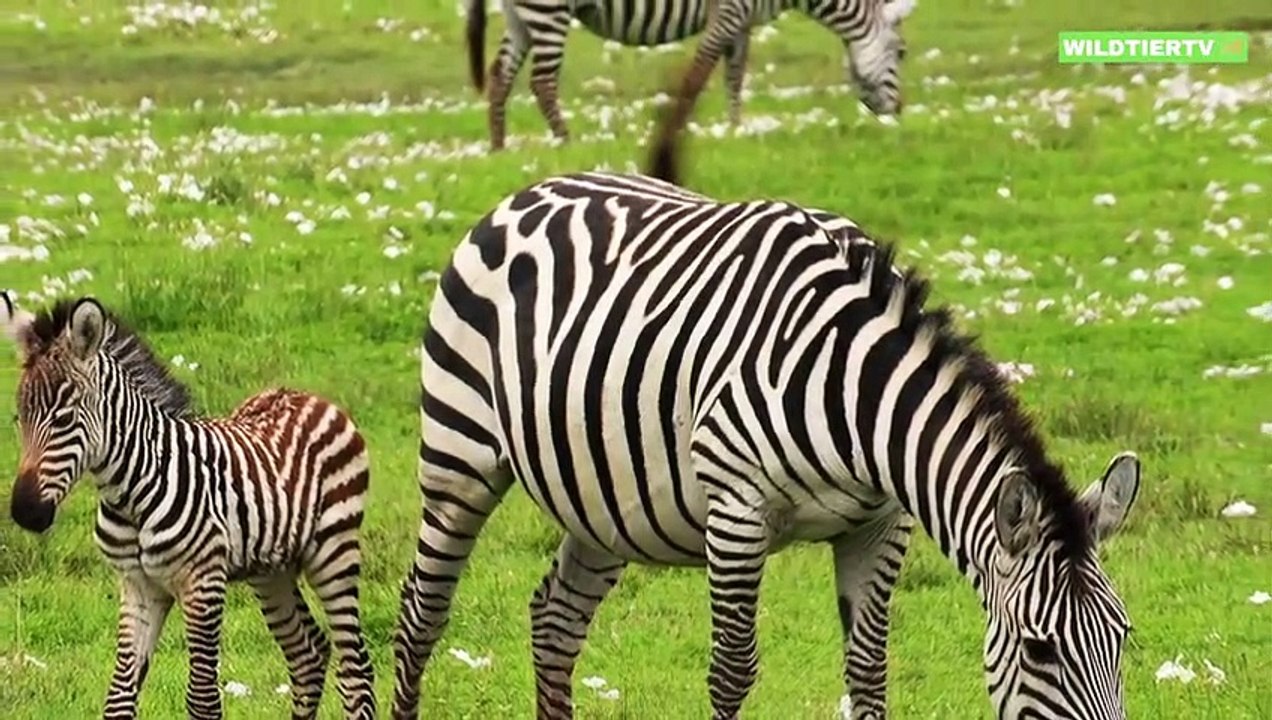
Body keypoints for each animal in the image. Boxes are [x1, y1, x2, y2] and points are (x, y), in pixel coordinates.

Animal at [1, 292, 376, 720]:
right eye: (19, 417)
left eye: (64, 418)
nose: (25, 512)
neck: (131, 493)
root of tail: (307, 396)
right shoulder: (138, 585)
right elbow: (118, 698)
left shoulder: (203, 583)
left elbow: (202, 699)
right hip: (271, 569)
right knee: (306, 654)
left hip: (334, 552)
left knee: (356, 668)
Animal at [387, 168, 1143, 719]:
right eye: (1041, 651)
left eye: (1123, 638)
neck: (856, 390)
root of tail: (527, 191)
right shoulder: (737, 510)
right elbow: (732, 670)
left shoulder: (880, 524)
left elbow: (868, 670)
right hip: (459, 453)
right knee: (422, 612)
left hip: (603, 501)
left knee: (555, 621)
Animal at [466, 0, 913, 150]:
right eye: (903, 54)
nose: (898, 112)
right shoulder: (729, 14)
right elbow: (698, 75)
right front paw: (681, 127)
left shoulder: (743, 22)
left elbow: (735, 76)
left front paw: (735, 128)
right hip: (548, 10)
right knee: (541, 80)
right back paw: (564, 140)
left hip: (520, 16)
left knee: (500, 75)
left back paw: (498, 146)